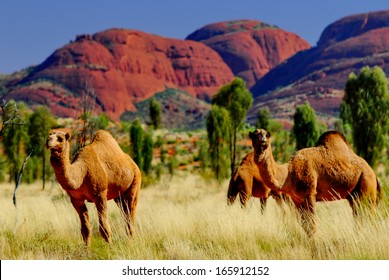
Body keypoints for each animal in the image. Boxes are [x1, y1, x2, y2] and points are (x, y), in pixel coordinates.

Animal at [249, 129, 382, 236]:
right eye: (254, 134)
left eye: (267, 135)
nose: (262, 140)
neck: (289, 173)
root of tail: (374, 174)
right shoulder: (297, 199)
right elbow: (305, 226)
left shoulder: (310, 194)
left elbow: (312, 226)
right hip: (354, 196)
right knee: (359, 216)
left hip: (367, 186)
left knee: (369, 216)